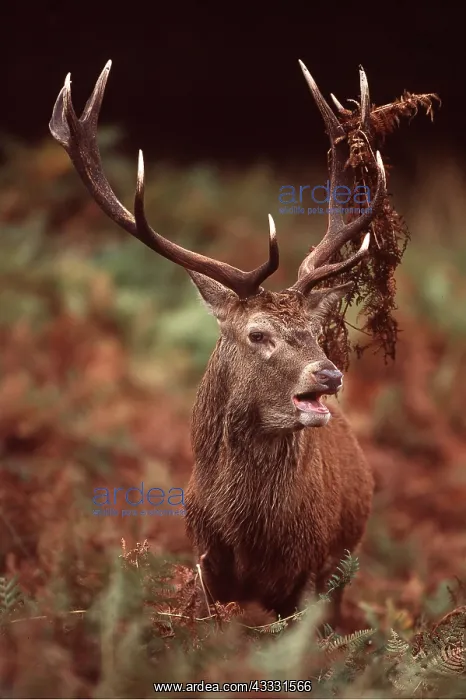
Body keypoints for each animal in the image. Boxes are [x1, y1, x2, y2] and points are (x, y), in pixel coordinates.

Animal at [49, 59, 387, 624]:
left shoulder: (313, 571)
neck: (256, 537)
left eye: (315, 331)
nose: (330, 373)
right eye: (258, 334)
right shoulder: (205, 562)